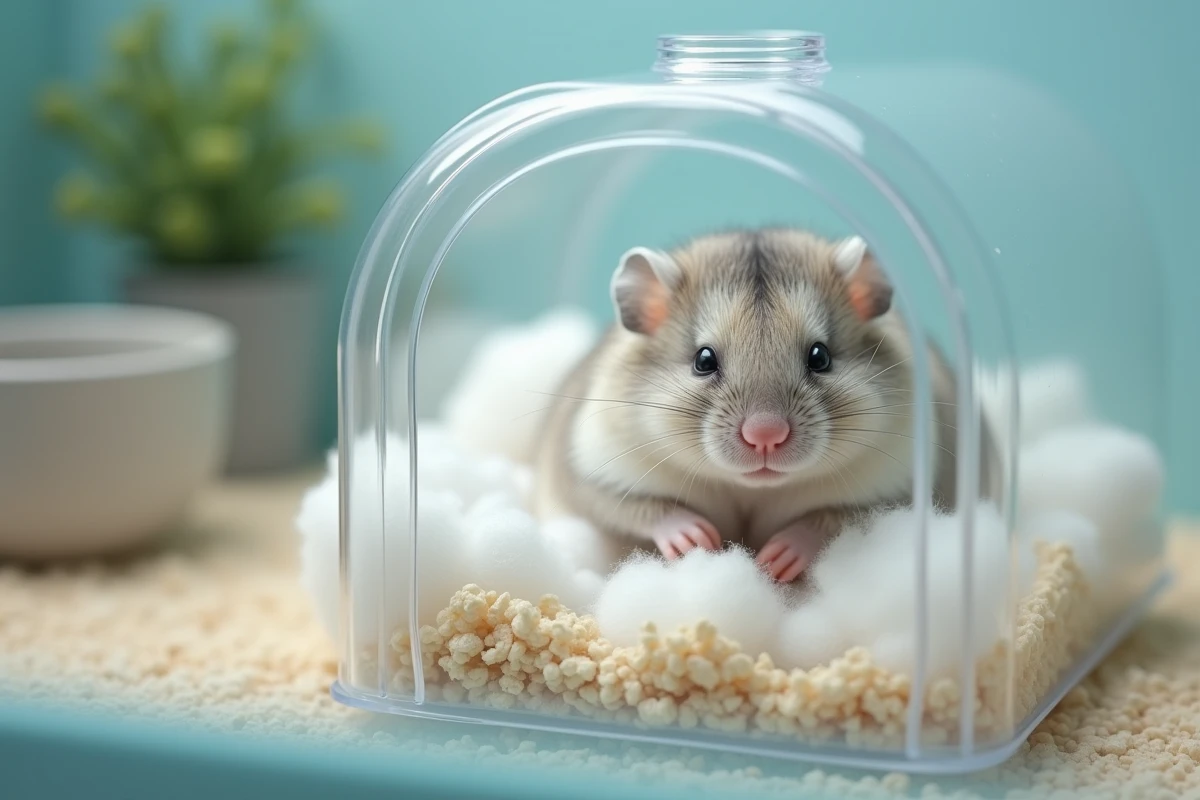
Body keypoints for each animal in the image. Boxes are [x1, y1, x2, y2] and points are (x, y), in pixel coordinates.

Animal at [532, 228, 997, 583]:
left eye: (820, 357)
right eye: (703, 360)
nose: (765, 436)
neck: (749, 489)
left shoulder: (895, 493)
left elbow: (831, 518)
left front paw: (774, 562)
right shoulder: (592, 475)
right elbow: (643, 508)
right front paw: (699, 541)